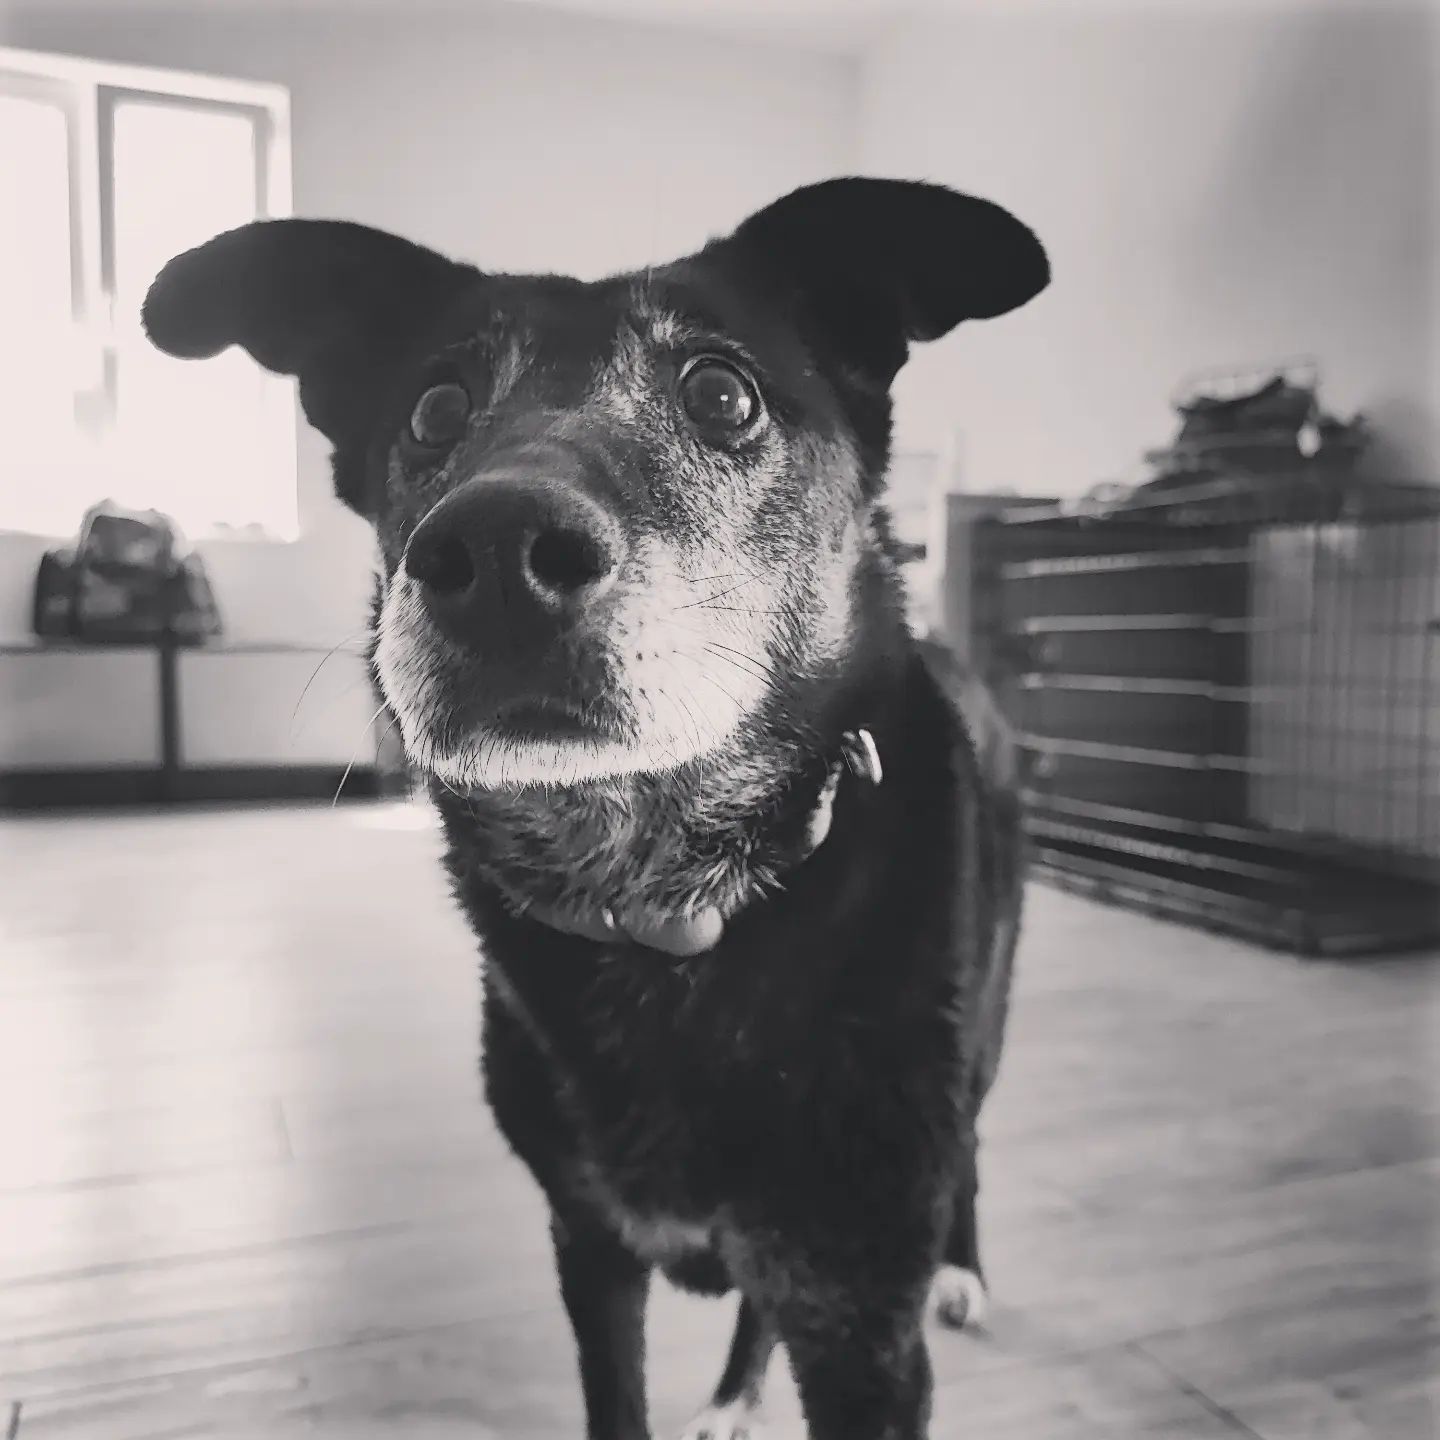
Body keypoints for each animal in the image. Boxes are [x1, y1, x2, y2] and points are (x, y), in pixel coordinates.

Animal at [143, 176, 1047, 1440]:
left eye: (721, 393)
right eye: (433, 408)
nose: (495, 550)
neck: (665, 905)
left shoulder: (866, 1323)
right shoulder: (590, 1245)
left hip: (987, 1021)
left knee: (969, 1140)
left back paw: (960, 1268)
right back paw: (734, 1391)